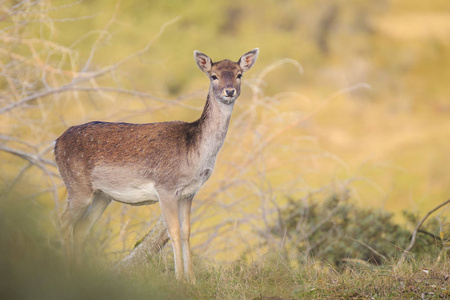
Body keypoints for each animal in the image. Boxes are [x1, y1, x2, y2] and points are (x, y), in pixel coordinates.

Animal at [55, 48, 260, 282]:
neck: (195, 155)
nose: (229, 91)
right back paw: (67, 272)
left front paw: (192, 279)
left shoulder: (189, 193)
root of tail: (56, 143)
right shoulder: (166, 187)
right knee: (63, 222)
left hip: (102, 195)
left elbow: (186, 232)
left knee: (81, 228)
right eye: (213, 76)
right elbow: (174, 231)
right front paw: (179, 279)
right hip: (76, 184)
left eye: (239, 74)